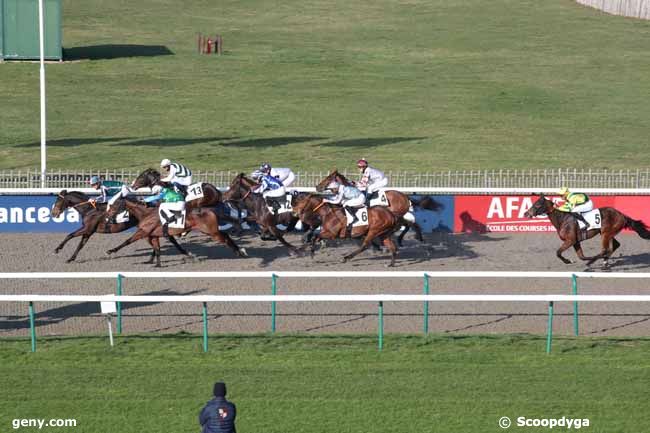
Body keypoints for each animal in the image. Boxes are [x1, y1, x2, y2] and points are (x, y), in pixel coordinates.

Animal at [51, 190, 189, 264]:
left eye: (58, 201)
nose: (53, 213)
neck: (89, 209)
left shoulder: (88, 229)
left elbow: (70, 235)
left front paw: (57, 249)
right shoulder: (88, 232)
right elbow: (80, 244)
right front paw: (71, 258)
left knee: (168, 238)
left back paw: (184, 252)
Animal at [105, 197, 247, 266]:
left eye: (114, 205)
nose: (107, 218)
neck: (145, 214)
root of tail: (210, 210)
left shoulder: (143, 232)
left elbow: (127, 241)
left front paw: (110, 251)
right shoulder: (154, 235)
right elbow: (156, 248)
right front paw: (154, 263)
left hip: (212, 233)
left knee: (225, 238)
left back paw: (240, 251)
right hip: (210, 232)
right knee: (226, 235)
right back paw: (239, 251)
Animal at [520, 193, 648, 266]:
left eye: (537, 205)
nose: (526, 213)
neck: (562, 219)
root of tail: (622, 215)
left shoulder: (570, 240)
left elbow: (558, 252)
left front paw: (569, 261)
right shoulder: (575, 241)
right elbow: (580, 256)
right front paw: (573, 260)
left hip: (605, 233)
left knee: (605, 250)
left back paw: (597, 261)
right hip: (608, 233)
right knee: (615, 246)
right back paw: (605, 261)